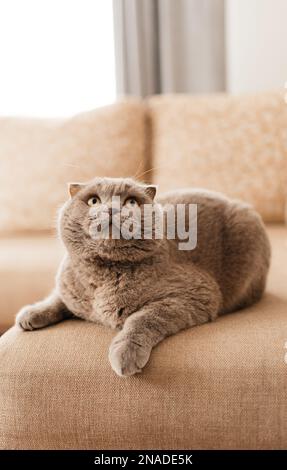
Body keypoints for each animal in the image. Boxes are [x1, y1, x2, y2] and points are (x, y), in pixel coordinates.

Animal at [15, 178, 272, 376]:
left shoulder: (195, 294)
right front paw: (31, 314)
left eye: (130, 202)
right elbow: (59, 297)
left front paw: (125, 354)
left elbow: (142, 319)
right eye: (94, 200)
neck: (105, 274)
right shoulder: (69, 285)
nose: (112, 209)